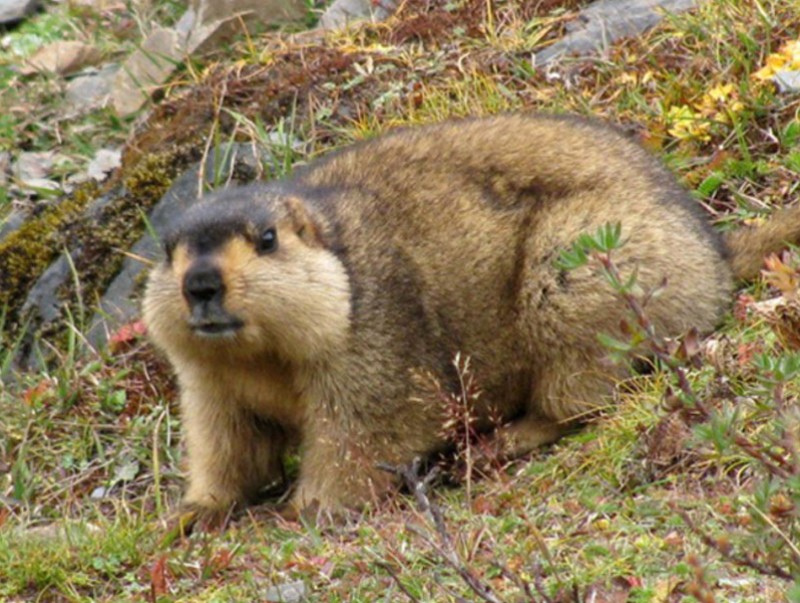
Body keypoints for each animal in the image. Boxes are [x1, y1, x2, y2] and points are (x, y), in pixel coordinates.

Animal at [143, 113, 800, 520]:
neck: (260, 357)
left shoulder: (370, 341)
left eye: (267, 239)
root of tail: (715, 254)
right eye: (168, 250)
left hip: (576, 267)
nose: (199, 283)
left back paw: (502, 440)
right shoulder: (208, 380)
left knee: (584, 396)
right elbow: (224, 439)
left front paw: (307, 506)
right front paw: (191, 513)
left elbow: (362, 427)